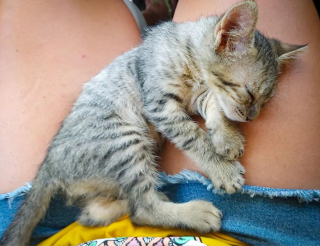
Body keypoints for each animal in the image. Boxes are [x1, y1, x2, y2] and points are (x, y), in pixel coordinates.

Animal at [0, 0, 304, 245]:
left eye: (265, 101)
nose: (252, 116)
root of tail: (49, 165)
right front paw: (222, 169)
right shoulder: (161, 104)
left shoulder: (198, 97)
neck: (188, 51)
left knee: (99, 213)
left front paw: (226, 137)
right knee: (142, 210)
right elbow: (193, 136)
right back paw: (195, 213)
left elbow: (215, 105)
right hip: (124, 140)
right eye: (250, 93)